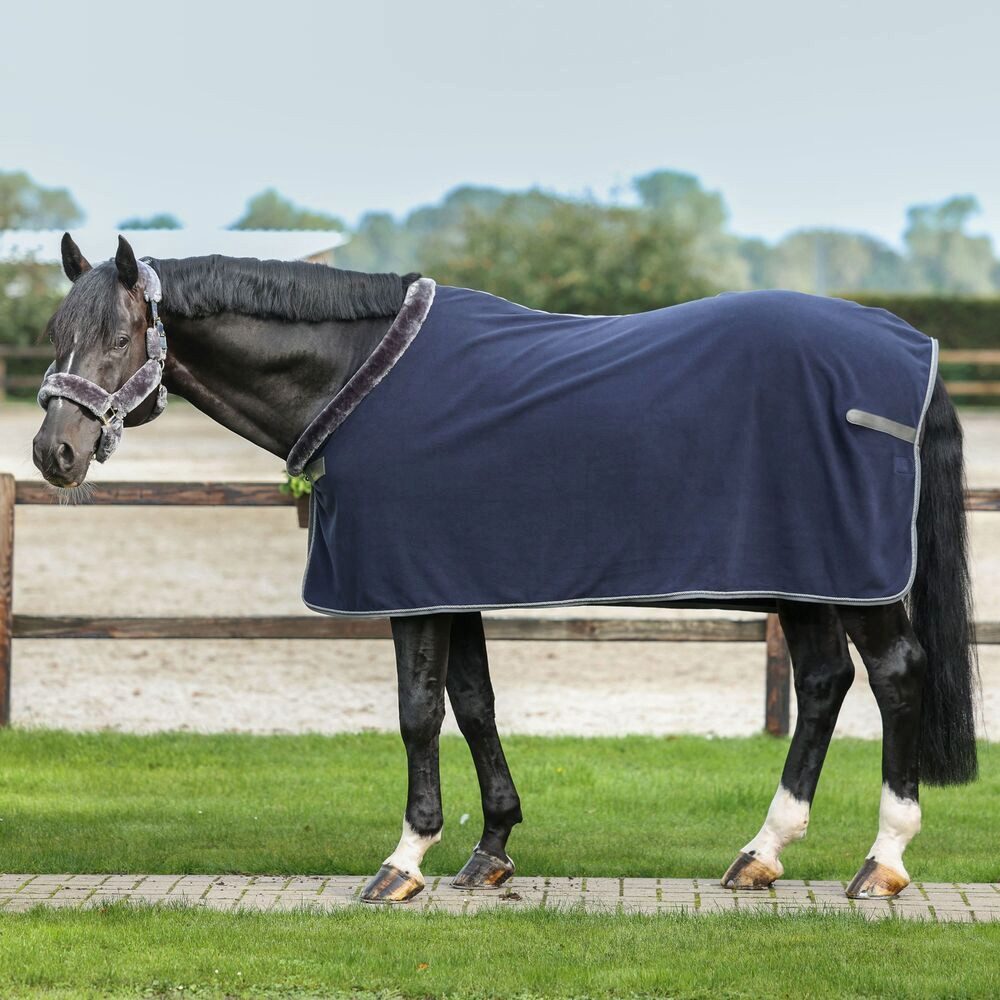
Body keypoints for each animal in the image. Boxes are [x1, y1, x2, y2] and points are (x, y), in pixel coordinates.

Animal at [31, 234, 978, 904]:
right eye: (54, 333)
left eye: (121, 333)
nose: (53, 452)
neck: (357, 375)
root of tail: (910, 346)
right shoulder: (450, 582)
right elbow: (474, 704)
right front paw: (489, 851)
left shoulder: (410, 590)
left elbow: (418, 712)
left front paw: (404, 860)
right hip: (808, 578)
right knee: (822, 683)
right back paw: (761, 853)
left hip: (851, 578)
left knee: (896, 673)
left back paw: (882, 860)